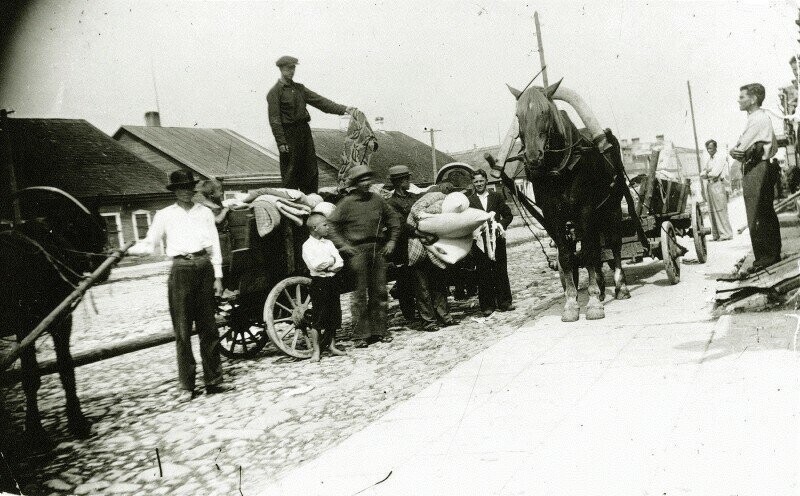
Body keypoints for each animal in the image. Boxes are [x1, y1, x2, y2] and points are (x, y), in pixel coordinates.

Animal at [506, 79, 632, 322]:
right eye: (517, 115)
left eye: (545, 112)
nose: (533, 157)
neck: (560, 169)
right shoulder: (552, 216)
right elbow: (566, 256)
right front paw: (572, 303)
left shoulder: (585, 210)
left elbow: (590, 253)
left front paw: (593, 303)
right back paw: (602, 287)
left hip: (611, 206)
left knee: (614, 245)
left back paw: (620, 287)